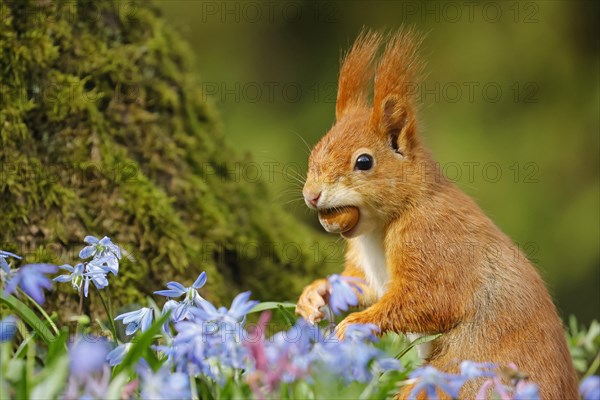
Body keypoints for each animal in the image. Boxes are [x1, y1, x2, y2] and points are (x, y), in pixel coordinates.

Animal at [298, 29, 580, 398]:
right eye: (316, 149)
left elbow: (429, 300)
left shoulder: (432, 241)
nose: (311, 195)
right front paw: (314, 295)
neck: (381, 225)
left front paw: (355, 324)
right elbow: (360, 284)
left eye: (364, 161)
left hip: (454, 377)